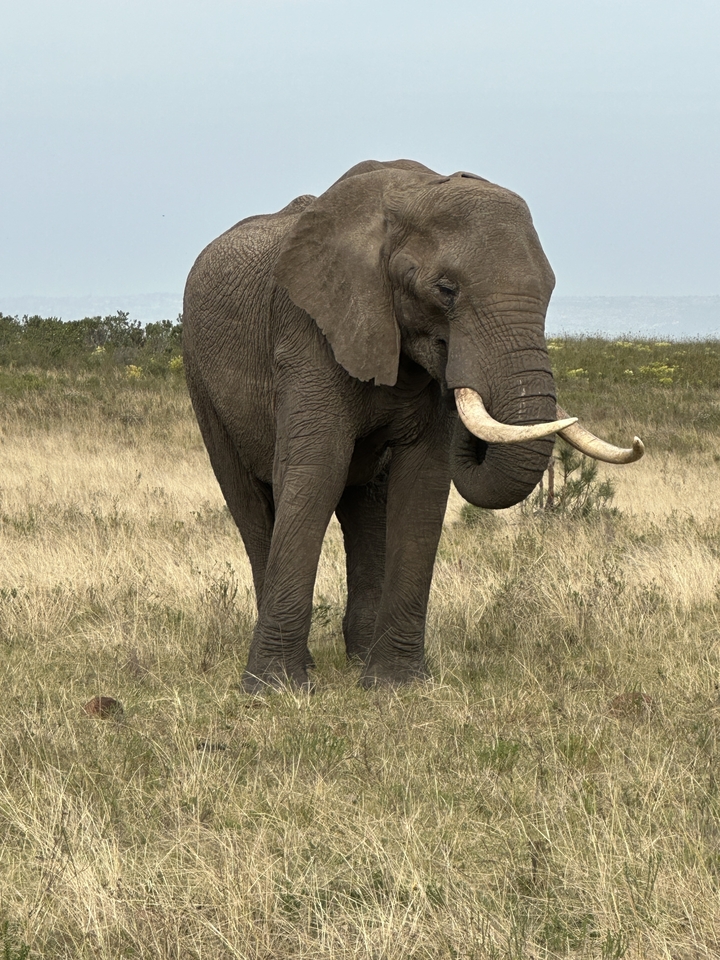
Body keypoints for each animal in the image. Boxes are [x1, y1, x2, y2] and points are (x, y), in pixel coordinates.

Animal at [183, 158, 643, 691]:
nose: (460, 381)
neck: (410, 196)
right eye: (446, 290)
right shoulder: (308, 330)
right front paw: (275, 689)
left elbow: (421, 482)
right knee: (251, 504)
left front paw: (395, 686)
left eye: (549, 289)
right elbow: (316, 470)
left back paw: (360, 658)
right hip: (199, 376)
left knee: (366, 508)